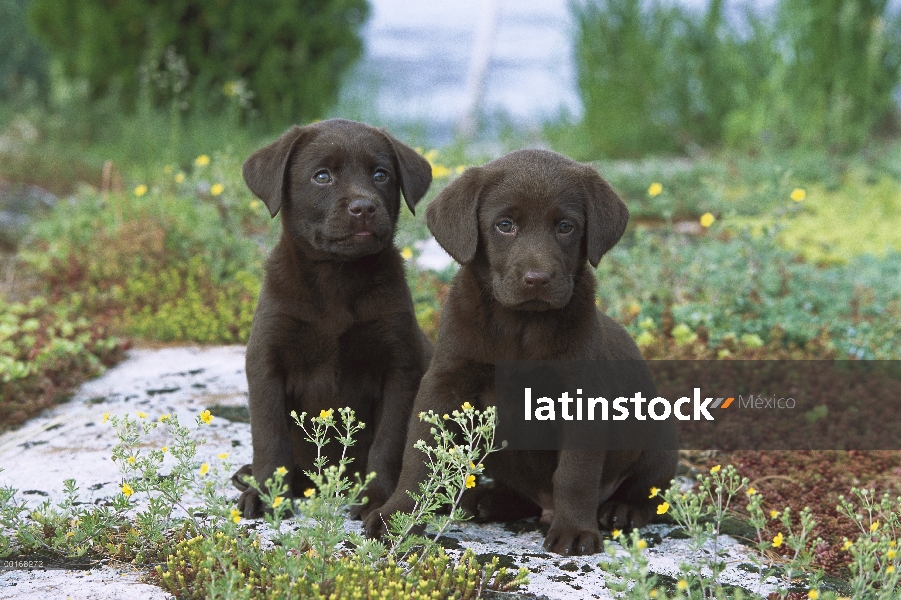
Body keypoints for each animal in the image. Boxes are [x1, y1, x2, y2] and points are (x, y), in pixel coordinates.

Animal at [234, 119, 434, 516]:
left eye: (380, 174)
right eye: (322, 176)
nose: (364, 207)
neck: (337, 278)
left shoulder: (400, 367)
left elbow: (388, 441)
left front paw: (377, 498)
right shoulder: (266, 361)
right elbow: (269, 435)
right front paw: (267, 493)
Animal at [362, 149, 680, 552]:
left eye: (565, 227)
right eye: (505, 225)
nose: (537, 279)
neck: (520, 327)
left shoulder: (583, 394)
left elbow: (575, 473)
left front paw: (575, 530)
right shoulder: (444, 381)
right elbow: (419, 457)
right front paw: (398, 517)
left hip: (660, 438)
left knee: (650, 491)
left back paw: (623, 509)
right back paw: (486, 500)